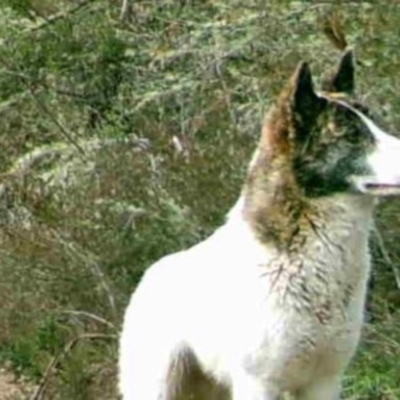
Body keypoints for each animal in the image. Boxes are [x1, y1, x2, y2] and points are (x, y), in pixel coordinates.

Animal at [119, 51, 400, 398]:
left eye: (375, 125)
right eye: (351, 136)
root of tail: (152, 273)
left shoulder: (324, 382)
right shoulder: (259, 384)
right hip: (157, 388)